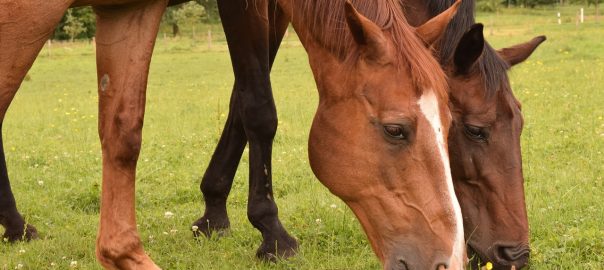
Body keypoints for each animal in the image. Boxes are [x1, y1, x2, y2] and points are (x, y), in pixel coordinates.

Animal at [1, 0, 462, 270]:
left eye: (451, 123)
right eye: (396, 130)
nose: (449, 260)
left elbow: (128, 128)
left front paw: (214, 214)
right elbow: (258, 106)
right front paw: (272, 234)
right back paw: (15, 225)